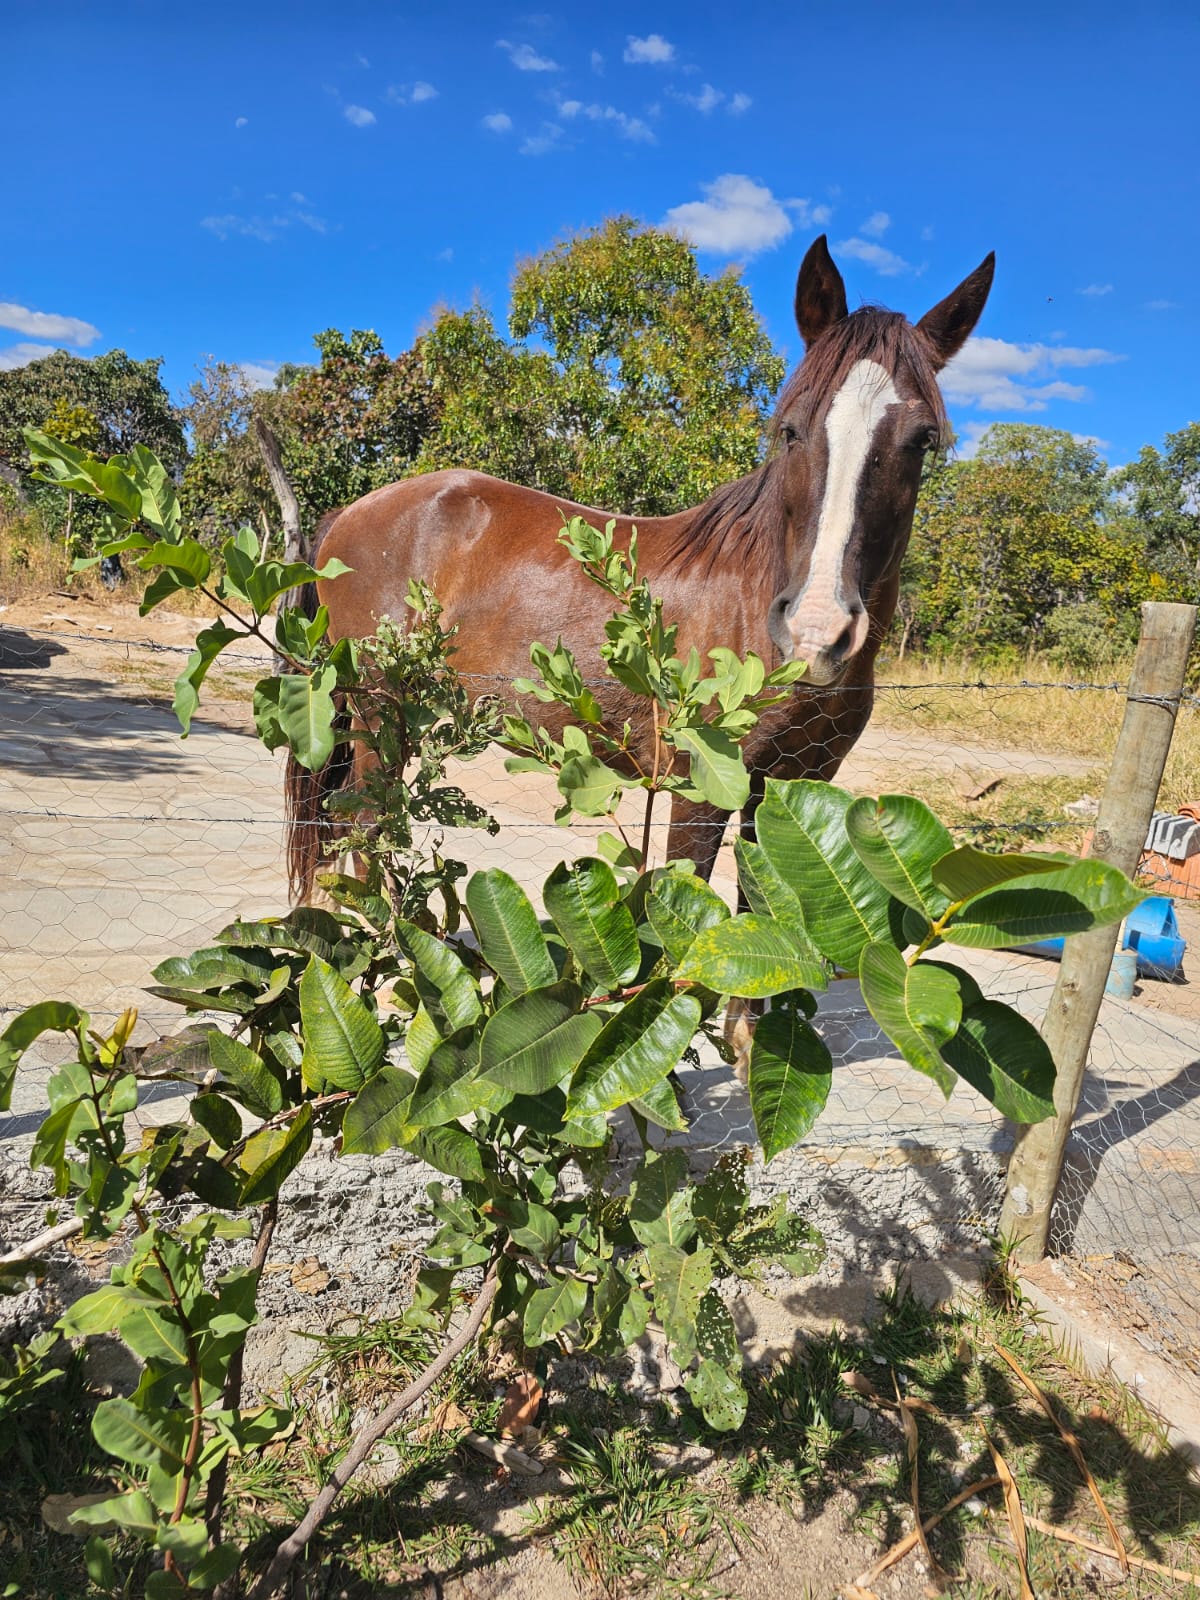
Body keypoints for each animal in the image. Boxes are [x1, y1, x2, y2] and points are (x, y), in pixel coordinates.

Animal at [285, 235, 994, 904]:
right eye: (791, 430)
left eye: (922, 441)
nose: (817, 633)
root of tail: (351, 513)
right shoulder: (701, 791)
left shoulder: (793, 788)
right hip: (379, 715)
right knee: (364, 832)